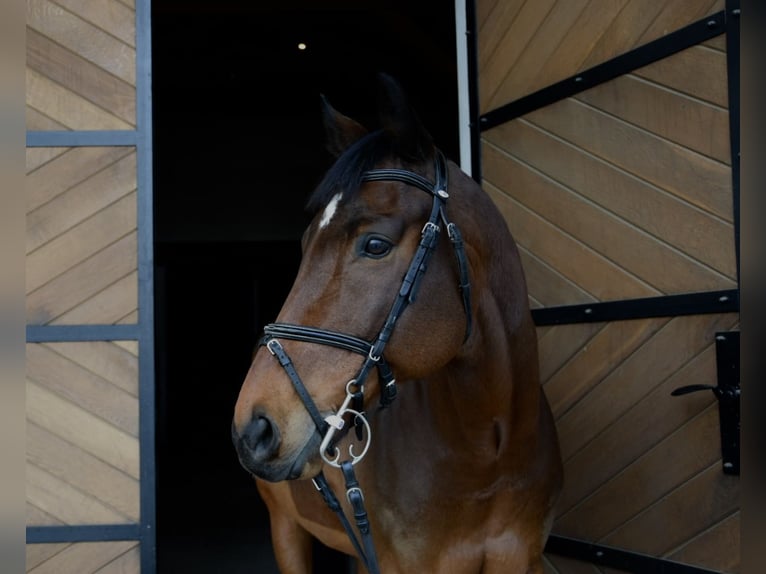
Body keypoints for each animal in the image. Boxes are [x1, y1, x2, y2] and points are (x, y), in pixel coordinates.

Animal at [232, 75, 562, 574]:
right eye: (306, 242)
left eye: (375, 244)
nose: (254, 428)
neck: (488, 454)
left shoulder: (523, 559)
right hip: (286, 529)